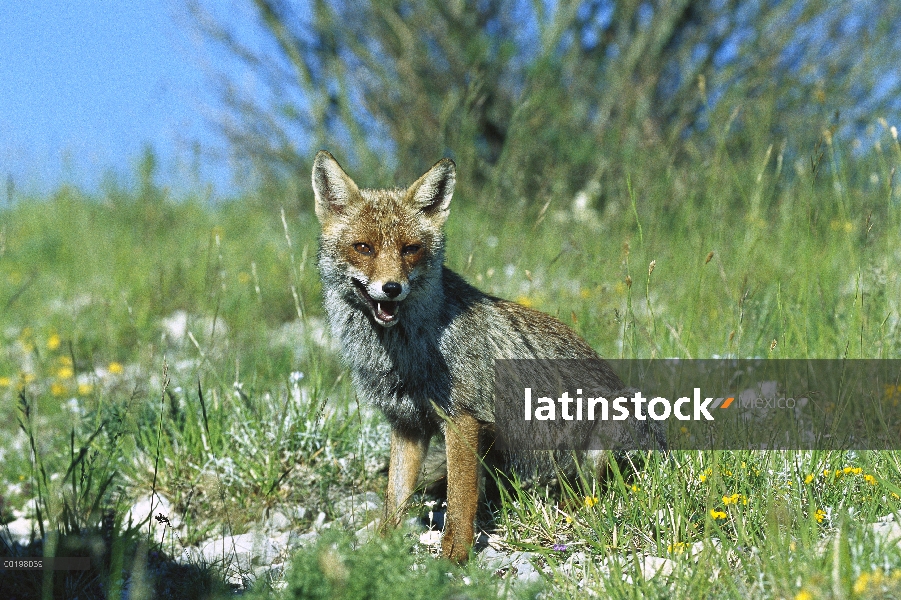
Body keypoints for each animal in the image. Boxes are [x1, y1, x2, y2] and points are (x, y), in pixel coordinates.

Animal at [310, 150, 648, 564]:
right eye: (363, 248)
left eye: (410, 249)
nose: (391, 288)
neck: (408, 351)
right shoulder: (406, 425)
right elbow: (395, 498)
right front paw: (380, 550)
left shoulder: (463, 418)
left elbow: (459, 500)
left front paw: (454, 557)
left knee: (590, 492)